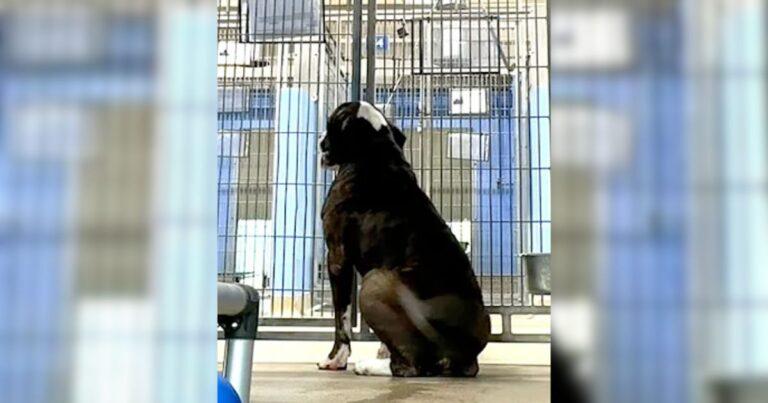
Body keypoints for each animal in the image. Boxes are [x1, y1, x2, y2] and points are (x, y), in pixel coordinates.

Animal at [316, 102, 488, 378]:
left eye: (331, 123)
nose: (321, 139)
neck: (374, 150)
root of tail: (460, 354)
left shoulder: (337, 258)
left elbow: (341, 317)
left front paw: (335, 358)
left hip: (374, 282)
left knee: (411, 366)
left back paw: (370, 366)